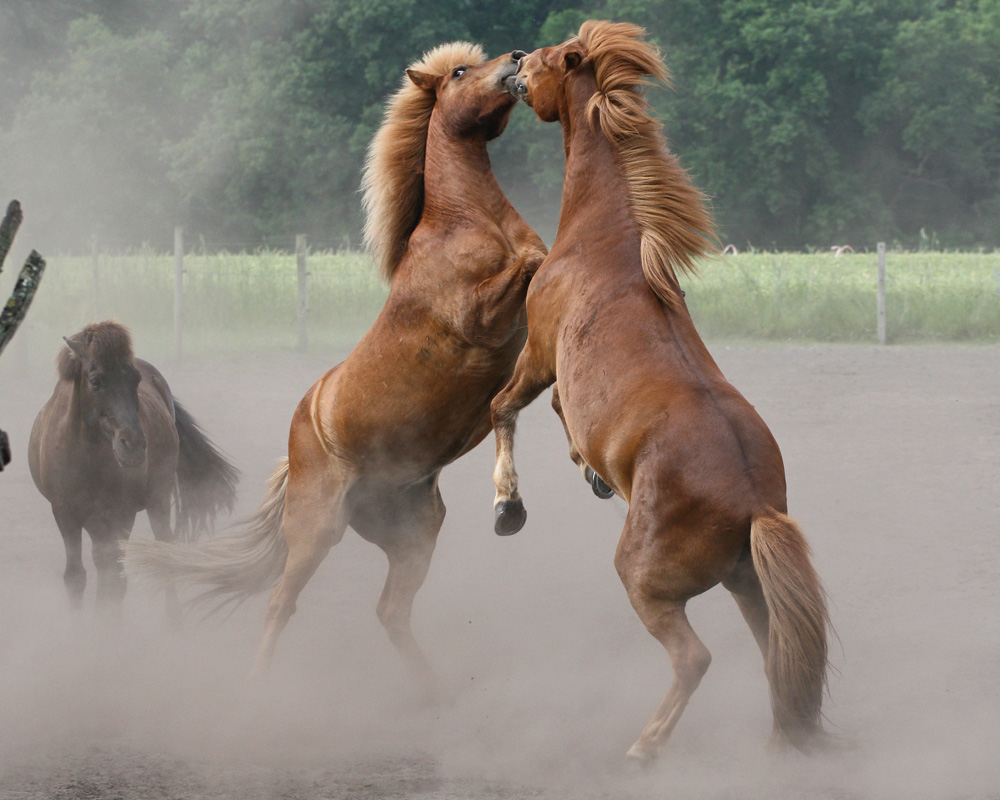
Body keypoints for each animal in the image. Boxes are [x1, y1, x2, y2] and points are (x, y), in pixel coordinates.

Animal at [28, 322, 237, 608]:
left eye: (135, 380)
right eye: (96, 381)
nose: (135, 444)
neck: (85, 455)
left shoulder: (121, 515)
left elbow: (113, 580)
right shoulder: (64, 513)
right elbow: (76, 576)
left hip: (158, 500)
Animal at [127, 43, 548, 692]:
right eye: (459, 72)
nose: (518, 57)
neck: (466, 222)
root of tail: (302, 436)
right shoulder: (480, 312)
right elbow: (531, 261)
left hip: (414, 531)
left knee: (390, 611)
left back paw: (434, 695)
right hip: (315, 529)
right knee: (281, 602)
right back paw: (258, 686)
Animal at [490, 21, 828, 764]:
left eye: (554, 57)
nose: (518, 60)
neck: (604, 238)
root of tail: (754, 502)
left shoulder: (539, 352)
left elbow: (505, 407)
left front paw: (507, 506)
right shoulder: (559, 377)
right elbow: (556, 417)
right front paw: (588, 472)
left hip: (644, 579)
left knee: (694, 659)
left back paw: (644, 748)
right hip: (746, 584)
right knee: (775, 654)